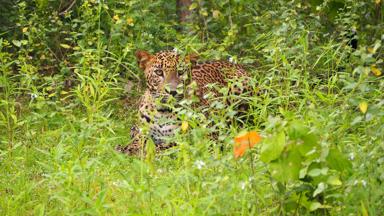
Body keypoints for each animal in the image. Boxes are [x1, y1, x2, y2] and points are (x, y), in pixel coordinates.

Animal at [117, 49, 252, 154]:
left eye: (181, 72)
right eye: (158, 72)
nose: (172, 91)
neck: (162, 111)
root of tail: (234, 64)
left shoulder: (201, 137)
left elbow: (170, 145)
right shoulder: (141, 132)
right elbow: (137, 141)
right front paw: (127, 148)